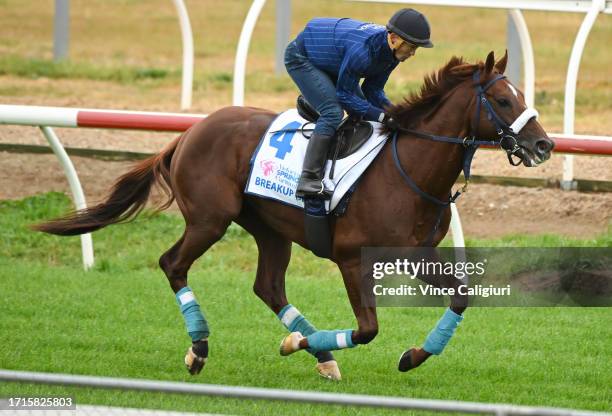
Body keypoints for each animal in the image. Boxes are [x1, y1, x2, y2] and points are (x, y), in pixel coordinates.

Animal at [35, 51, 556, 380]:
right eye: (504, 100)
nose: (544, 145)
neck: (408, 169)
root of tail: (191, 130)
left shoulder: (415, 254)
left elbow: (462, 297)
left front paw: (413, 356)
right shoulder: (352, 259)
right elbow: (368, 329)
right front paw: (296, 346)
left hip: (270, 230)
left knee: (268, 287)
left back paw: (322, 356)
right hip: (210, 219)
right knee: (173, 264)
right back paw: (201, 349)